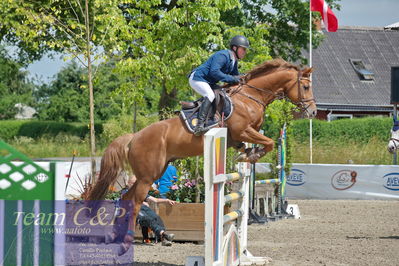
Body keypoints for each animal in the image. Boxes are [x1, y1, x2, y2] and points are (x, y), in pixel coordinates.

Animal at [88, 58, 318, 254]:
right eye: (306, 87)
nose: (313, 112)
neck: (250, 97)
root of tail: (134, 137)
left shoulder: (240, 137)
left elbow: (257, 144)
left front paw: (247, 155)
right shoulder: (243, 131)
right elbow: (268, 142)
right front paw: (251, 156)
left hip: (153, 171)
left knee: (126, 197)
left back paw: (114, 236)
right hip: (147, 176)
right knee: (135, 202)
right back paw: (125, 242)